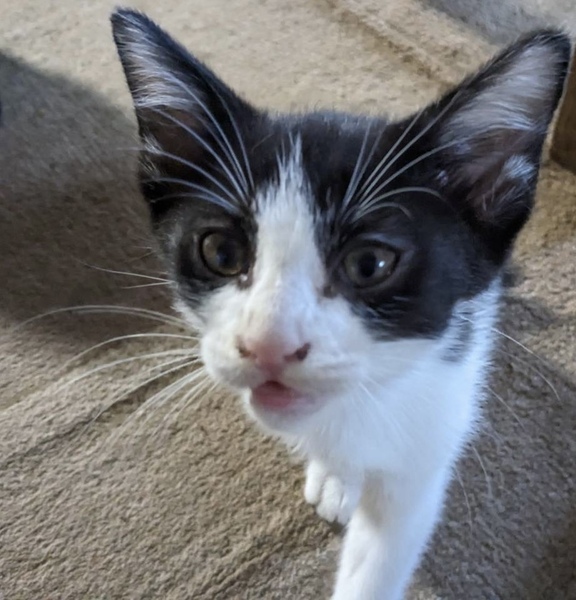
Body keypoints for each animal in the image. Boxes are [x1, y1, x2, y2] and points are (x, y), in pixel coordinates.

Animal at [110, 9, 570, 599]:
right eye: (220, 252)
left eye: (369, 264)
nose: (268, 345)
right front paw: (335, 469)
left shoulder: (430, 434)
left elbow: (381, 556)